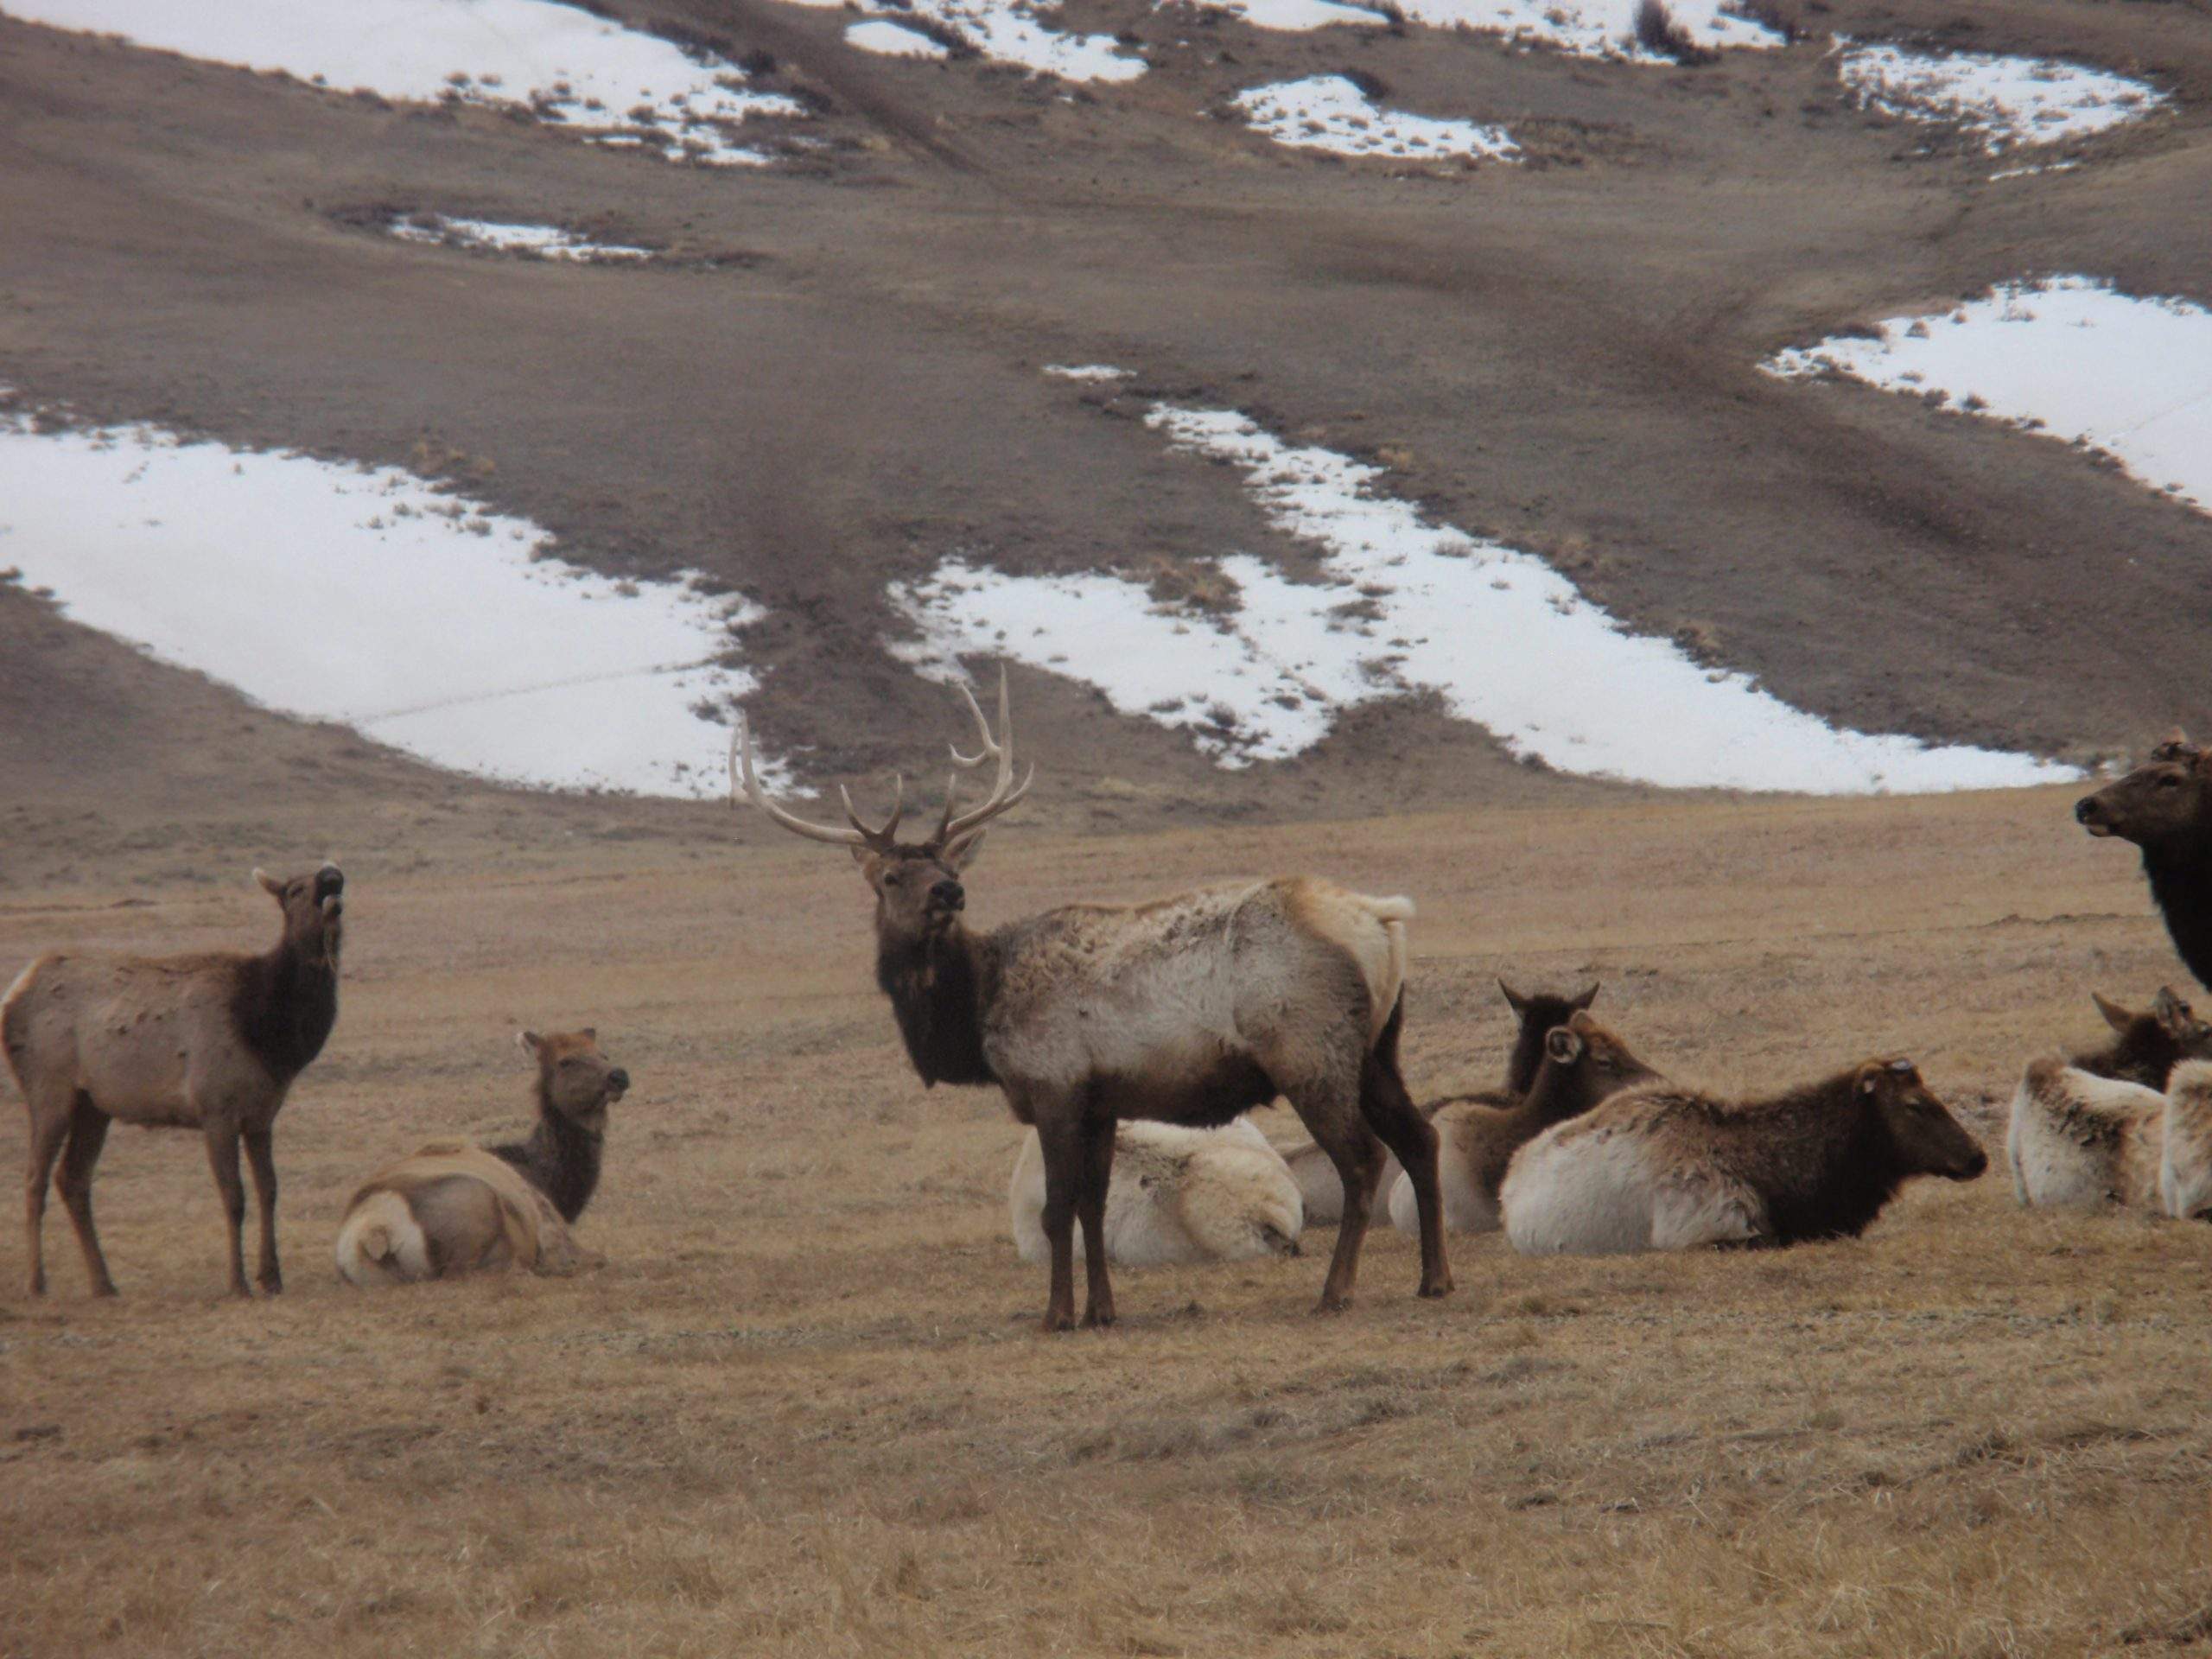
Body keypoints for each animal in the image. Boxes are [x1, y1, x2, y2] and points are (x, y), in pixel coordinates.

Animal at [4, 864, 344, 1298]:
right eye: (296, 889)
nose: (332, 875)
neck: (268, 1036)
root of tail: (14, 993)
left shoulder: (261, 1116)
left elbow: (269, 1190)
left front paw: (272, 1277)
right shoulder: (216, 1108)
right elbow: (234, 1196)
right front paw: (238, 1282)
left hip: (93, 1106)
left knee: (73, 1178)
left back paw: (104, 1282)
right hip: (49, 1090)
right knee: (35, 1178)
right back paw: (37, 1281)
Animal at [729, 669, 1451, 1330]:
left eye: (950, 866)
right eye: (892, 876)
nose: (950, 892)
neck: (976, 1015)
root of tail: (1382, 917)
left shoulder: (1055, 1084)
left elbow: (1058, 1211)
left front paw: (1057, 1315)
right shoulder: (1103, 1101)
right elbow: (1092, 1208)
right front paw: (1102, 1310)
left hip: (1310, 1051)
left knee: (1364, 1159)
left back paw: (1337, 1291)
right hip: (1379, 1048)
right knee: (1421, 1137)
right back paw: (1435, 1279)